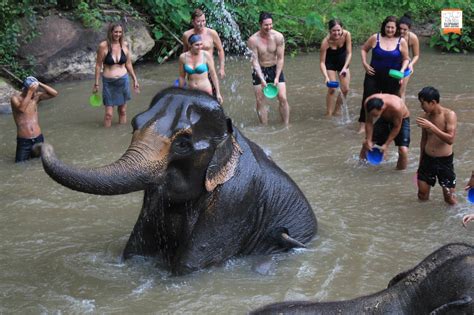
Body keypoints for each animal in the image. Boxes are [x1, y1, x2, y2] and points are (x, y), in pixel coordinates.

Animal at [41, 87, 318, 276]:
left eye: (183, 144)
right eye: (134, 124)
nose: (44, 144)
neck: (231, 133)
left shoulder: (236, 199)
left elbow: (189, 267)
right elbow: (135, 250)